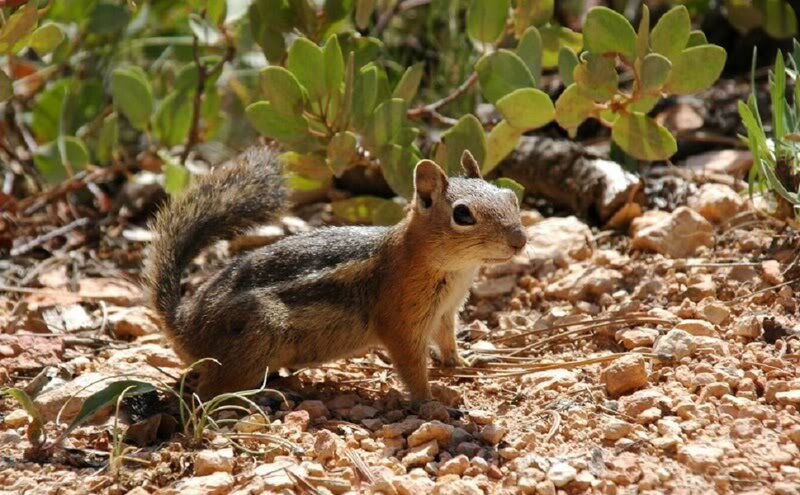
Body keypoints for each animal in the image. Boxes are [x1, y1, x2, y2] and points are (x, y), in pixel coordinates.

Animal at [144, 146, 527, 401]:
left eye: (511, 196)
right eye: (463, 215)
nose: (520, 240)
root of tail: (181, 322)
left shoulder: (446, 312)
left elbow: (447, 341)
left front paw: (463, 362)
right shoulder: (401, 320)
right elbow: (411, 366)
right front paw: (431, 402)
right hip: (260, 331)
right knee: (207, 393)